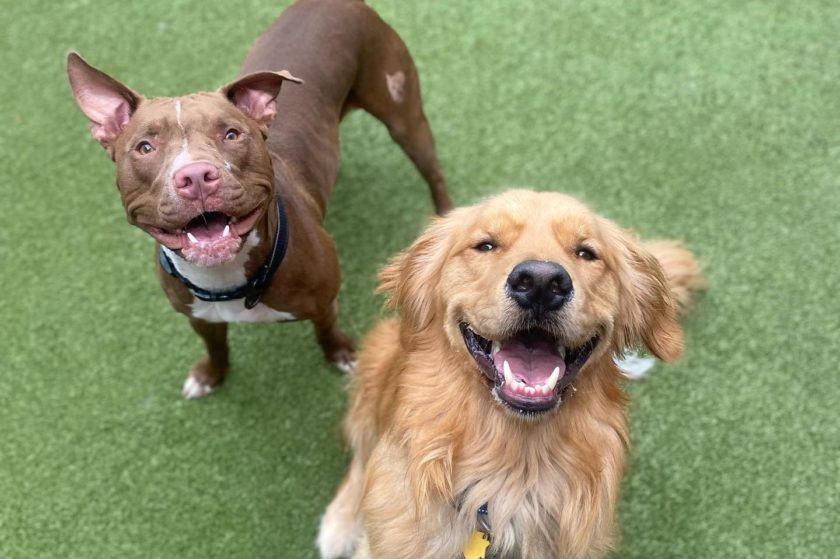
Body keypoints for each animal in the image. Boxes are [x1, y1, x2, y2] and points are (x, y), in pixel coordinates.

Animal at [66, 0, 452, 398]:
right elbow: (216, 346)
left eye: (231, 134)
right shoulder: (200, 319)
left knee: (432, 170)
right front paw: (210, 375)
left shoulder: (324, 302)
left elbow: (326, 331)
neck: (224, 279)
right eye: (145, 147)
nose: (196, 176)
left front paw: (343, 355)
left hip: (403, 115)